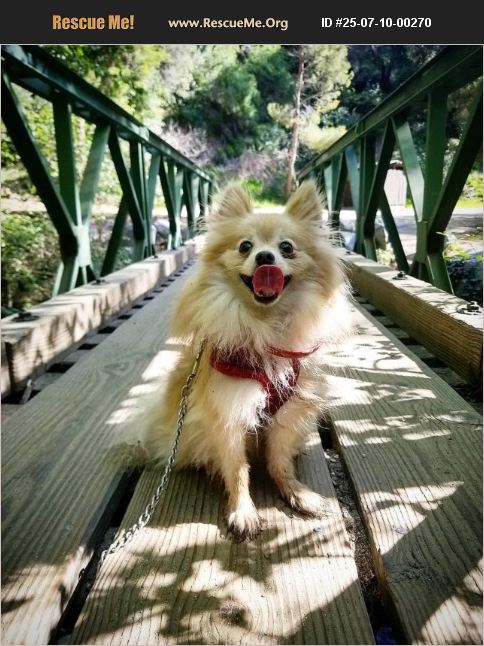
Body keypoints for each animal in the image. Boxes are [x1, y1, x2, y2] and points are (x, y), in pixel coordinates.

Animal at [143, 180, 352, 540]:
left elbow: (279, 462)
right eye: (244, 246)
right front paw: (243, 511)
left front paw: (295, 492)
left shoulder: (287, 414)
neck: (265, 328)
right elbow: (237, 469)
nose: (265, 257)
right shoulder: (228, 414)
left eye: (287, 247)